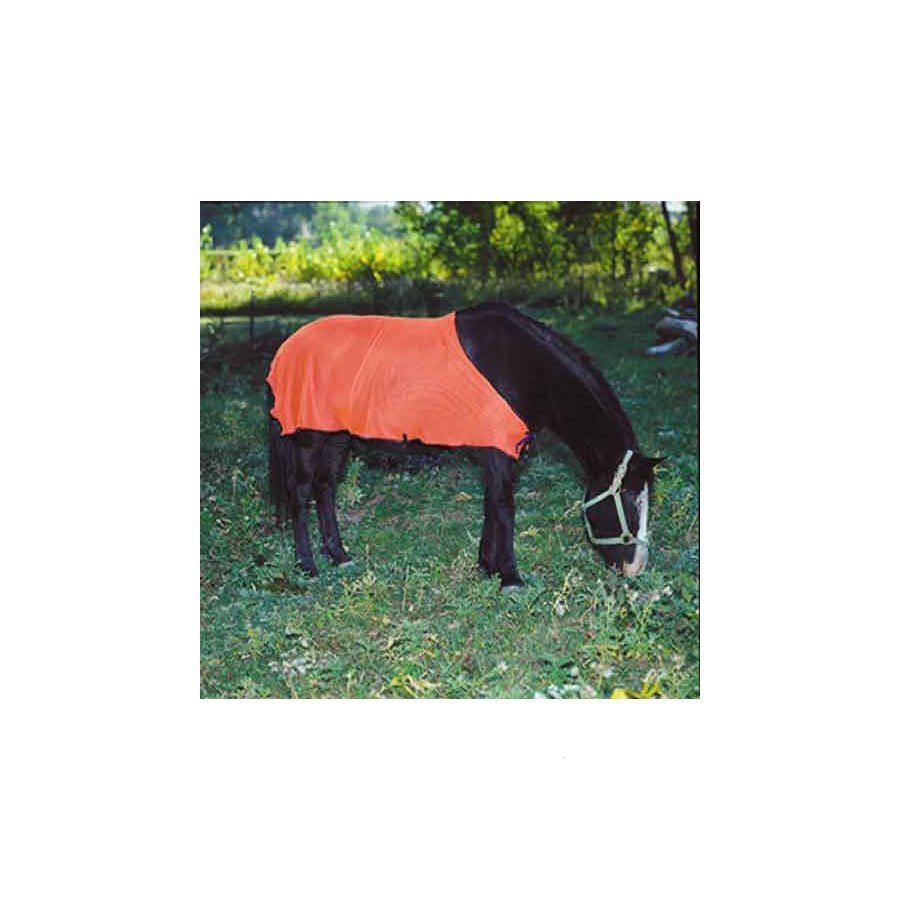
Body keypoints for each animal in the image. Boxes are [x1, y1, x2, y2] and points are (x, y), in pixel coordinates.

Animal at [267, 302, 662, 589]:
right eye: (631, 500)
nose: (635, 569)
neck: (524, 366)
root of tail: (288, 348)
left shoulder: (495, 451)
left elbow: (491, 505)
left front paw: (487, 566)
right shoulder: (498, 451)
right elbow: (504, 508)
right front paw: (510, 577)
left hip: (336, 438)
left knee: (325, 489)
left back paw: (338, 555)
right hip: (309, 437)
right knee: (301, 493)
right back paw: (307, 566)